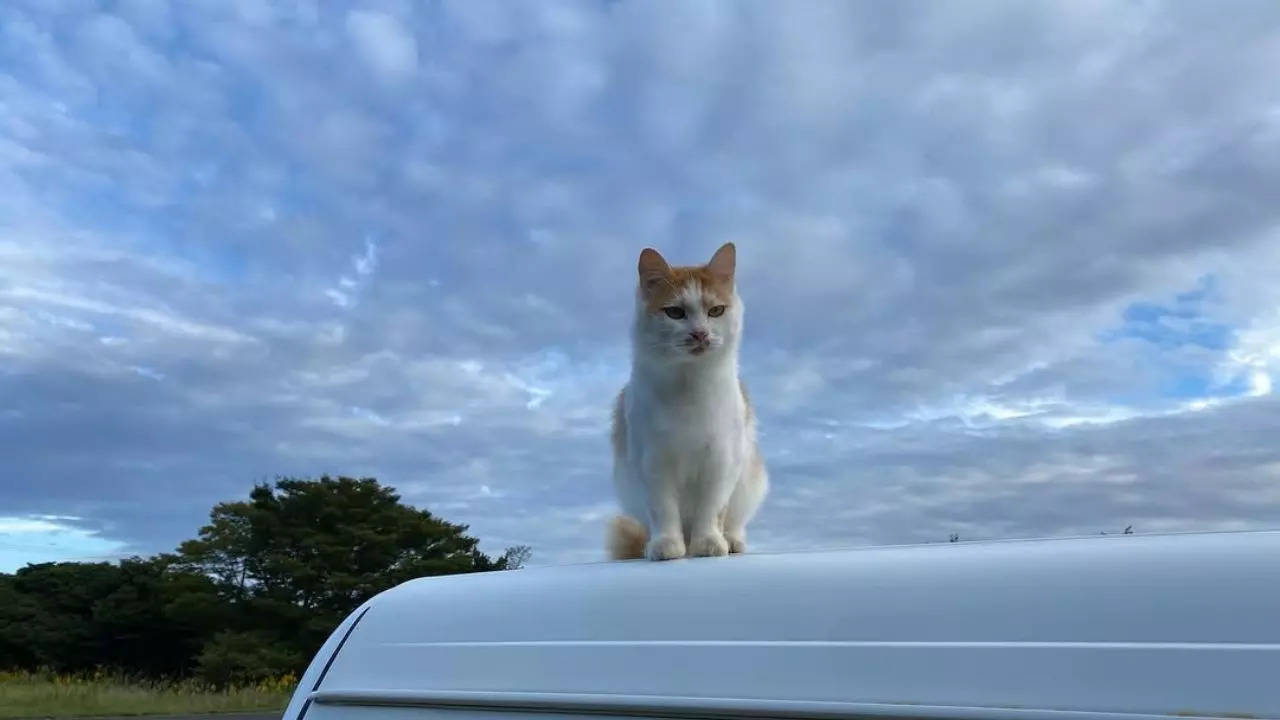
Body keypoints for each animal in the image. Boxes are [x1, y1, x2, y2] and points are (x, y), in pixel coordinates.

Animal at [609, 240, 768, 561]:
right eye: (675, 313)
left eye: (716, 310)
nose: (700, 334)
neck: (689, 385)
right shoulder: (653, 462)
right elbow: (663, 510)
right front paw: (667, 544)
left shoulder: (721, 460)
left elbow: (712, 509)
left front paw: (707, 542)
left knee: (734, 523)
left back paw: (731, 541)